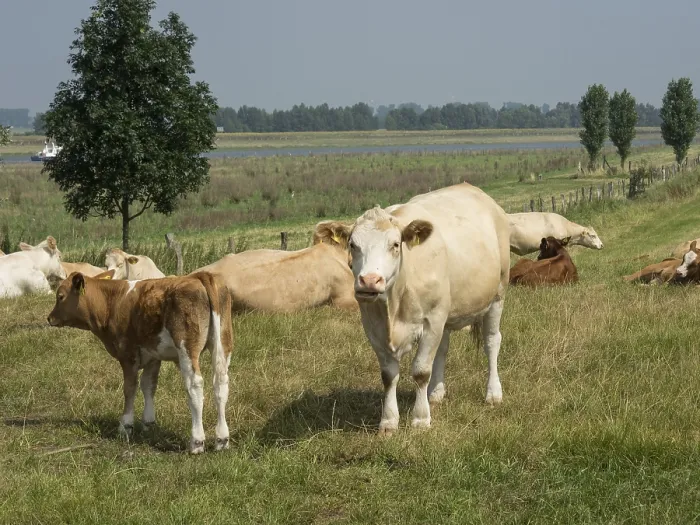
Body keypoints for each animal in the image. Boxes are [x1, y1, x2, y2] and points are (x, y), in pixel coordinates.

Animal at [47, 270, 233, 454]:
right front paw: (148, 423)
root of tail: (199, 276)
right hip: (223, 343)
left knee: (195, 385)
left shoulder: (128, 353)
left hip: (187, 348)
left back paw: (197, 441)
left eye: (60, 296)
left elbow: (130, 388)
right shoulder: (153, 355)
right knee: (221, 384)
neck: (113, 301)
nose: (50, 318)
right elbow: (148, 385)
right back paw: (222, 438)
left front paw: (125, 426)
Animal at [327, 183, 511, 435]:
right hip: (447, 312)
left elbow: (421, 371)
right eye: (353, 245)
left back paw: (493, 393)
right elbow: (389, 375)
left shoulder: (431, 321)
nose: (369, 281)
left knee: (492, 341)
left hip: (496, 296)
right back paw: (436, 393)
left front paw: (421, 418)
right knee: (443, 350)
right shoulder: (373, 327)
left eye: (395, 245)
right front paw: (388, 421)